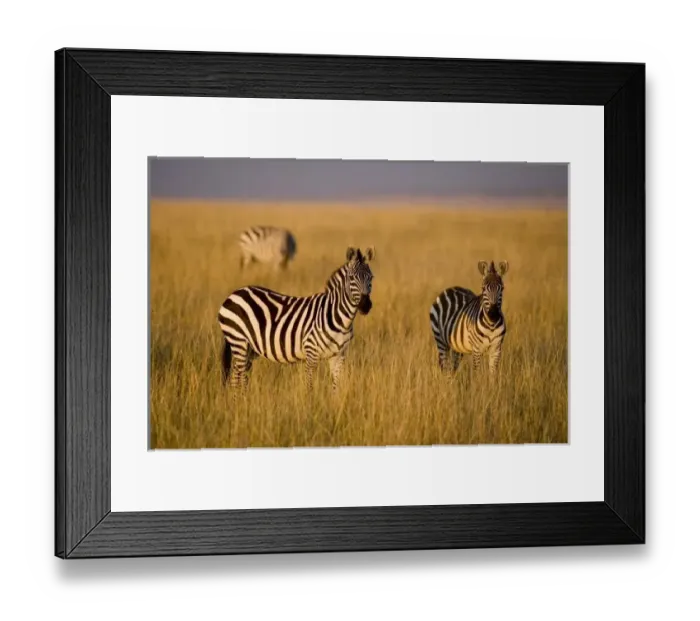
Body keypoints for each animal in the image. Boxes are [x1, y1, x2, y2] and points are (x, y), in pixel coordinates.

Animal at [218, 246, 376, 394]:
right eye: (351, 278)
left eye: (371, 278)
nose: (365, 305)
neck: (341, 320)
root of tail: (234, 294)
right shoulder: (311, 353)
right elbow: (309, 387)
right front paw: (310, 404)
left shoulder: (339, 356)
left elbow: (336, 389)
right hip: (238, 341)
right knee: (237, 378)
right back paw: (239, 401)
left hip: (249, 348)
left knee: (240, 376)